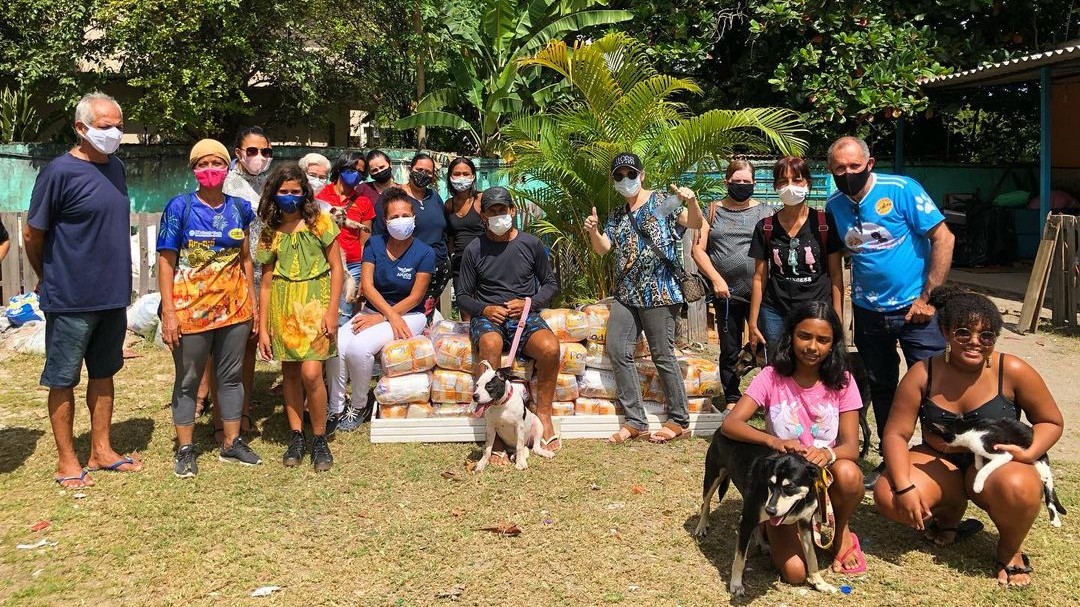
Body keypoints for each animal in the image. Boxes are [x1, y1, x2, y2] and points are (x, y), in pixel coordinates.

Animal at [691, 427, 833, 591]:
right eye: (770, 483)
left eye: (789, 487)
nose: (770, 511)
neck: (798, 505)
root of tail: (720, 428)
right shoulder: (746, 521)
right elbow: (739, 559)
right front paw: (736, 584)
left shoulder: (805, 523)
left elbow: (812, 557)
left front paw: (820, 583)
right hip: (713, 476)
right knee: (706, 503)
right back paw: (701, 527)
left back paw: (762, 544)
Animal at [933, 414, 1067, 524]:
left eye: (944, 437)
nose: (945, 444)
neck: (969, 429)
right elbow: (977, 456)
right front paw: (978, 463)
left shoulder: (1002, 452)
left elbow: (984, 469)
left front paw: (977, 485)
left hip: (1041, 461)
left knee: (1049, 489)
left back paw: (1055, 519)